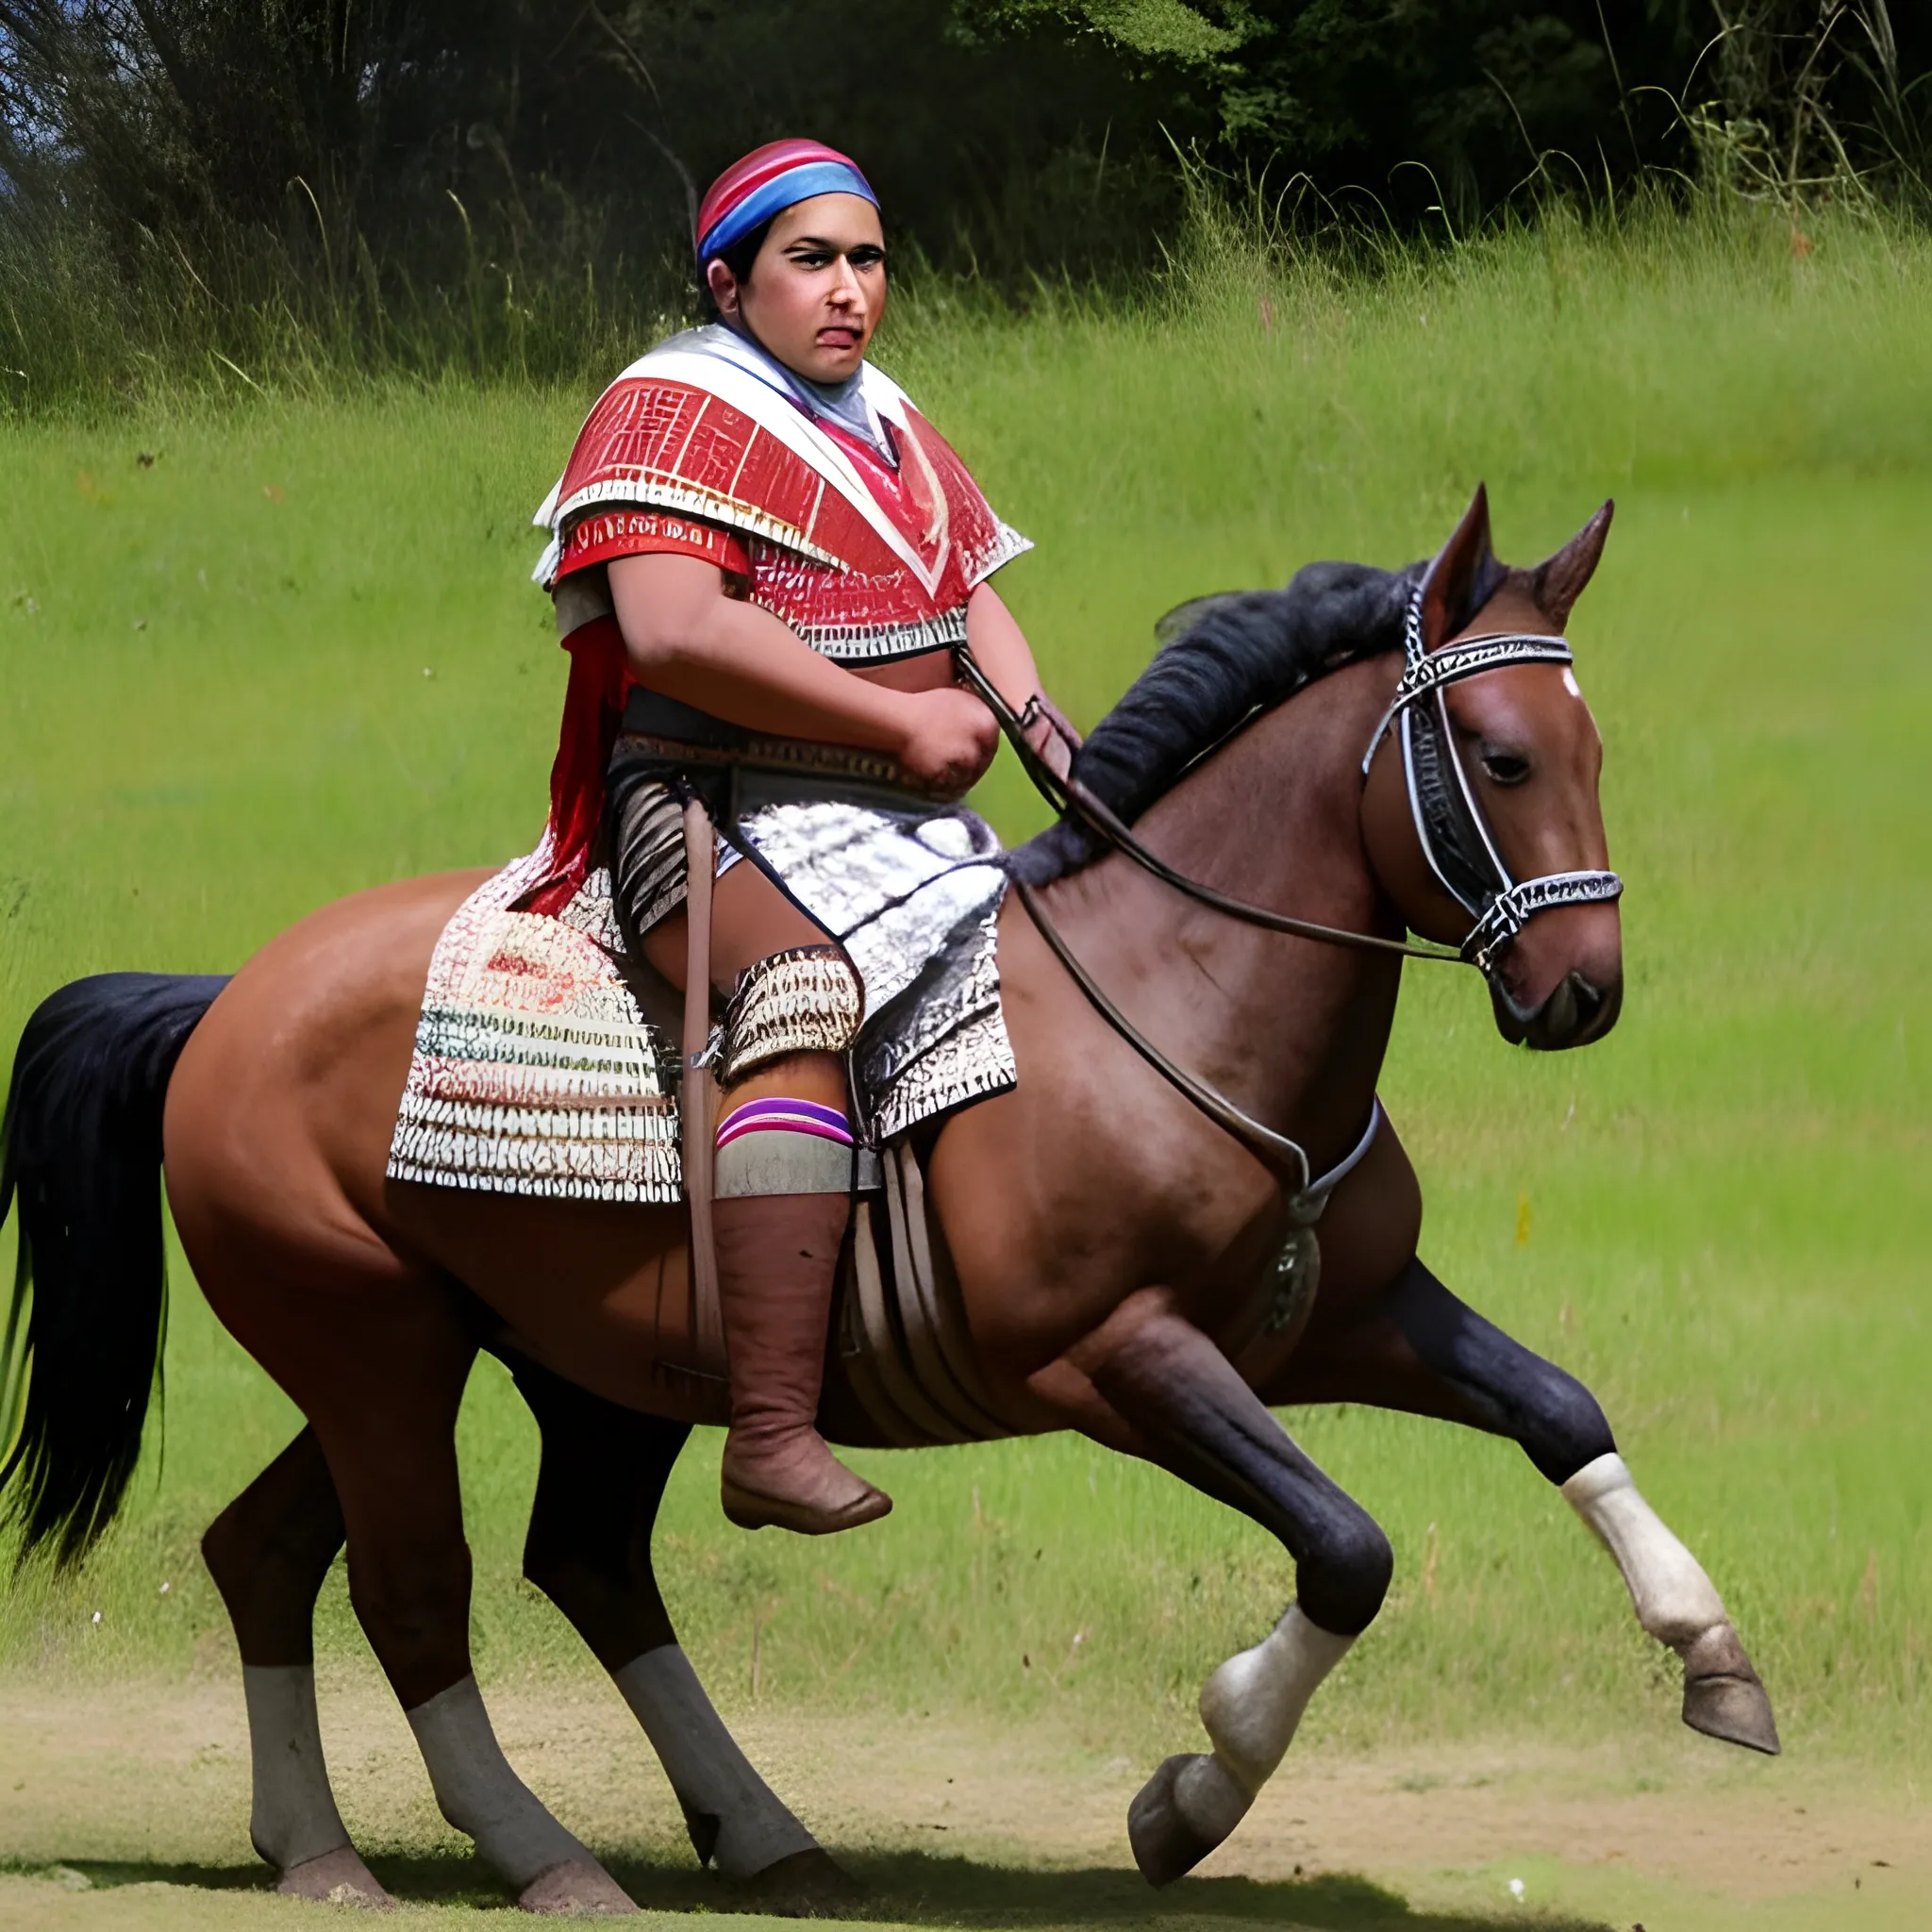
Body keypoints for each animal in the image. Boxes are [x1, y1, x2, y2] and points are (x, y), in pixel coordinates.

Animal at [0, 487, 1777, 1916]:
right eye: (1499, 756)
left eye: (1594, 752)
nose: (1583, 991)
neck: (1182, 993)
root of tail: (227, 997)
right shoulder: (1116, 1357)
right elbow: (1346, 1546)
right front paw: (1191, 1794)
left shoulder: (1344, 1315)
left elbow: (1558, 1407)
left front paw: (1713, 1652)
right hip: (377, 1348)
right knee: (412, 1587)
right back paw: (539, 1854)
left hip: (529, 1358)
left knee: (375, 1554)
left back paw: (457, 1843)